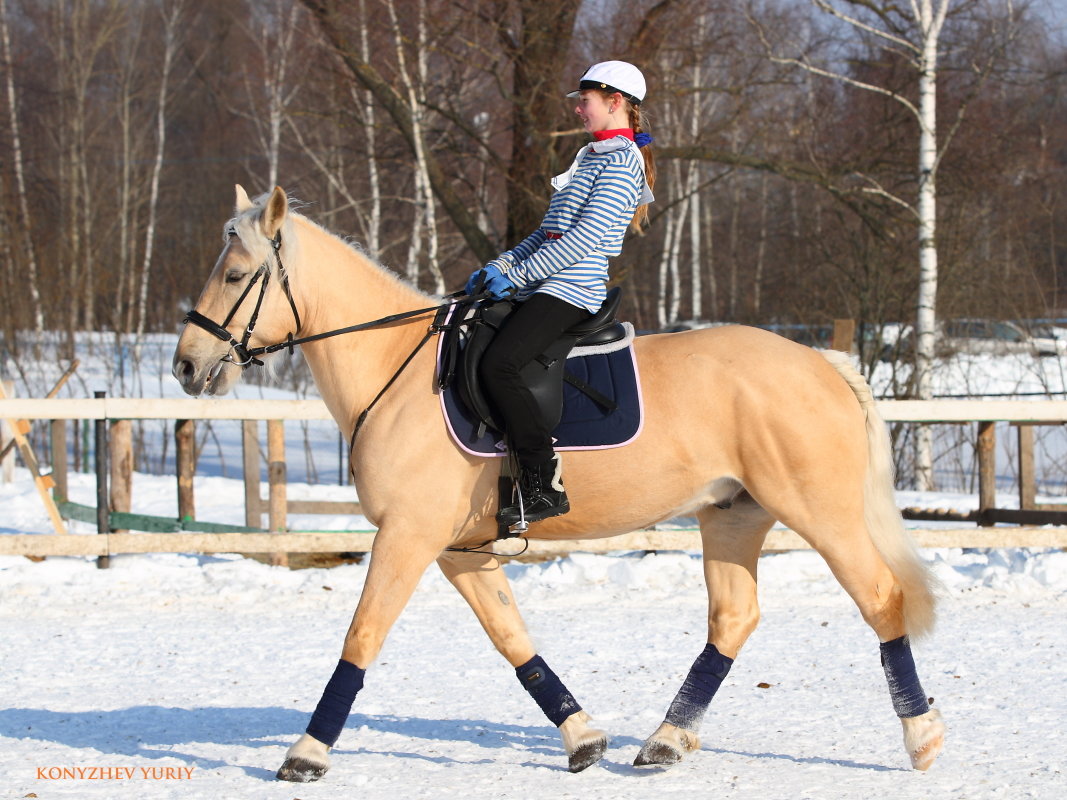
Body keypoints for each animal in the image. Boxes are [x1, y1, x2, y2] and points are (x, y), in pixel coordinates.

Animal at [170, 186, 947, 785]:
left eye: (236, 275)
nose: (185, 365)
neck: (395, 368)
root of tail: (819, 362)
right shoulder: (459, 550)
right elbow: (512, 639)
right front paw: (583, 739)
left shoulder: (408, 535)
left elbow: (362, 637)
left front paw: (305, 754)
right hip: (732, 516)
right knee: (733, 619)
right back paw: (664, 741)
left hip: (819, 512)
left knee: (881, 600)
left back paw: (923, 738)